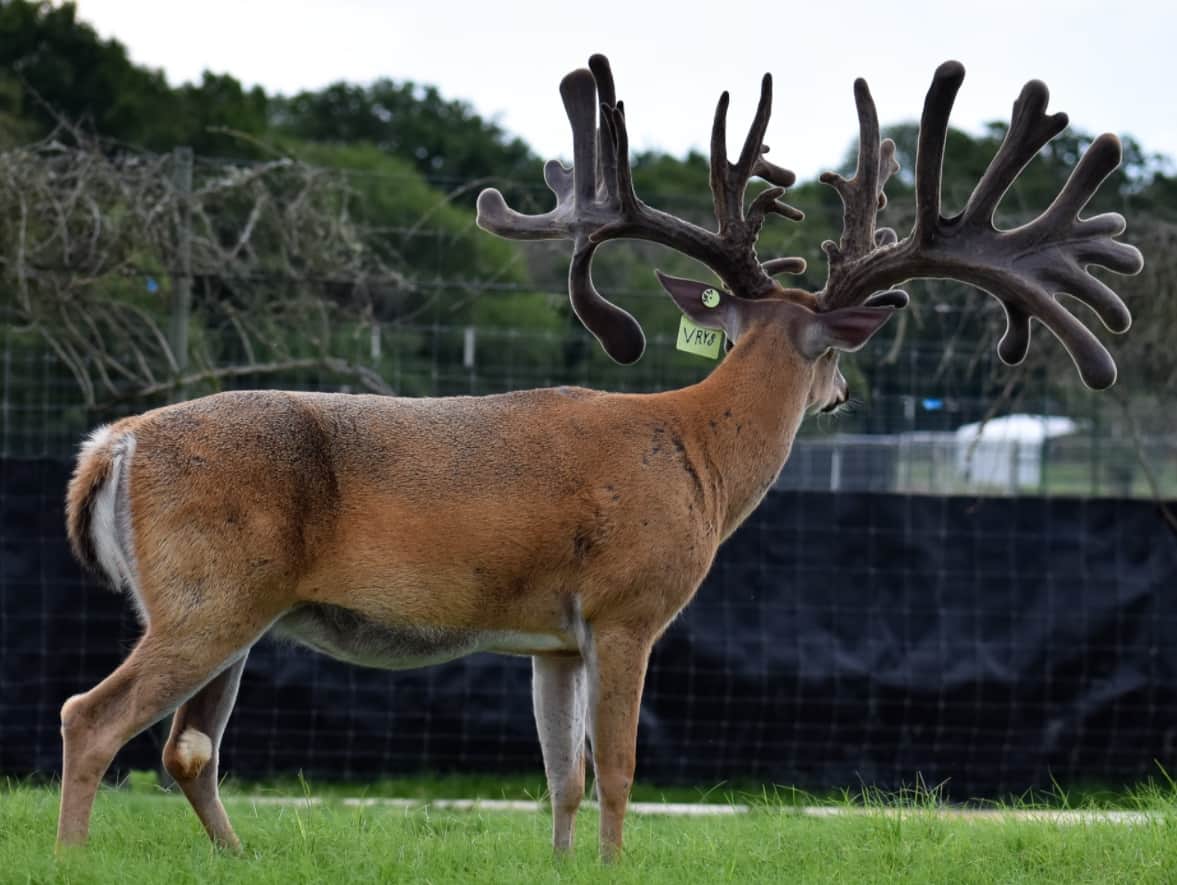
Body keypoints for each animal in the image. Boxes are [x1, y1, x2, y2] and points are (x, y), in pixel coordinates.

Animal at [58, 54, 1141, 861]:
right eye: (831, 349)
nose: (844, 394)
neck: (699, 453)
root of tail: (112, 444)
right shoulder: (628, 605)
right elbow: (617, 770)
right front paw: (617, 866)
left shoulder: (551, 637)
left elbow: (562, 777)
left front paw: (565, 867)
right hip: (211, 591)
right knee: (92, 716)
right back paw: (76, 854)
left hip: (234, 609)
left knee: (188, 750)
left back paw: (237, 857)